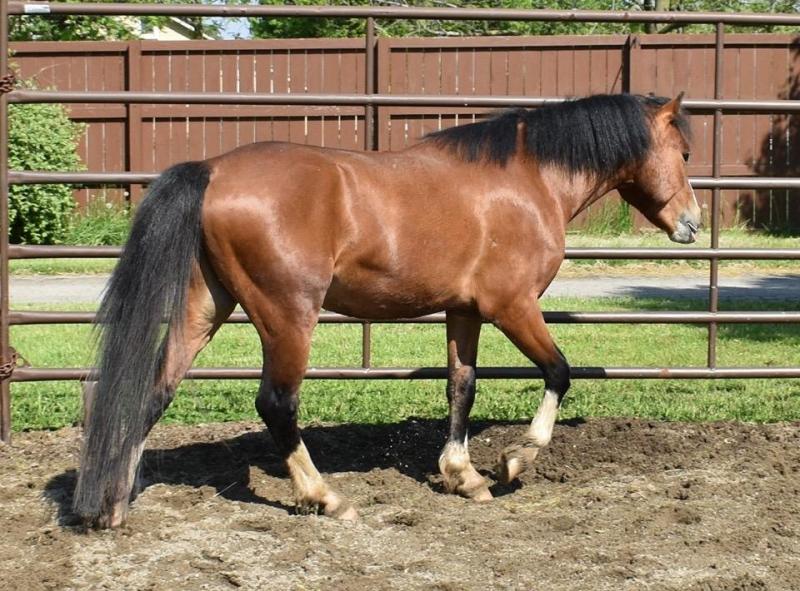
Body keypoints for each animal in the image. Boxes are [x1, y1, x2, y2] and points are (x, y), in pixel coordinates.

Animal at [73, 92, 699, 528]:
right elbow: (559, 372)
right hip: (287, 317)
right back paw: (327, 497)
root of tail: (213, 169)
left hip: (205, 310)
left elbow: (461, 385)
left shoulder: (464, 312)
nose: (691, 223)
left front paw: (463, 475)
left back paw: (114, 504)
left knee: (154, 391)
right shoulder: (512, 306)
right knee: (276, 404)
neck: (526, 182)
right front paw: (514, 461)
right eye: (685, 153)